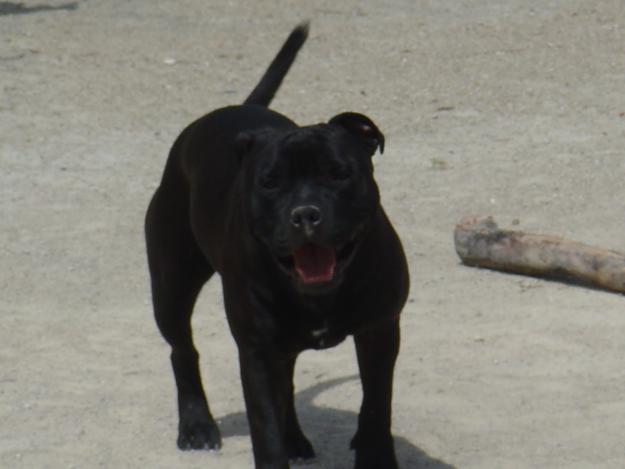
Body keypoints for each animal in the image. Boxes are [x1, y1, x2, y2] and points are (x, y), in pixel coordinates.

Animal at [146, 22, 410, 468]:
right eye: (270, 182)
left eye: (339, 173)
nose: (305, 214)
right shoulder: (257, 353)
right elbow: (264, 430)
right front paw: (274, 445)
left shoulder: (380, 331)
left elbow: (376, 408)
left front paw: (373, 451)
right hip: (172, 286)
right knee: (182, 350)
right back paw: (197, 424)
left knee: (286, 382)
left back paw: (295, 439)